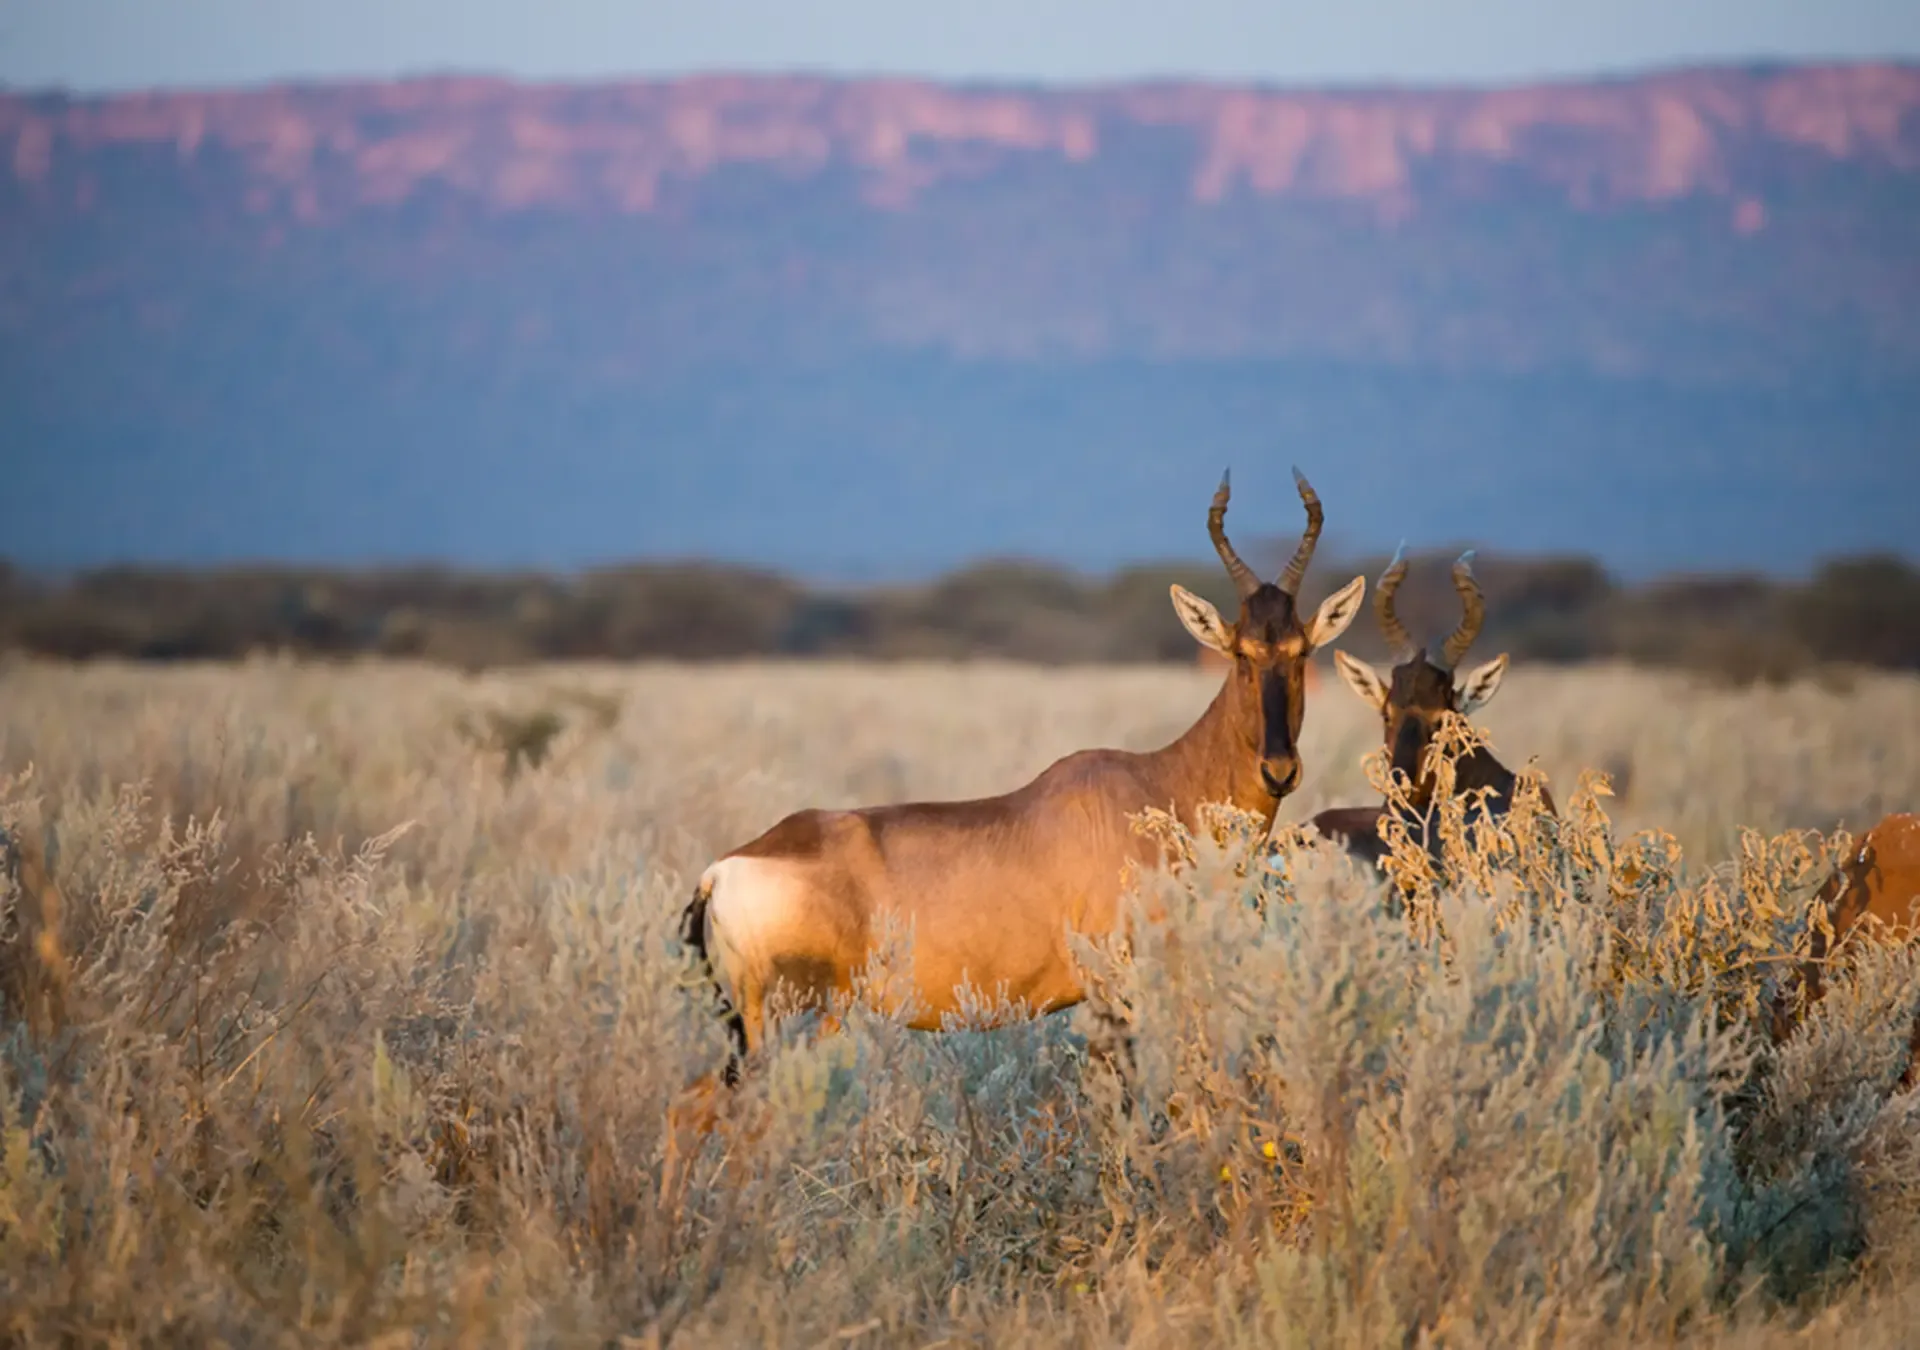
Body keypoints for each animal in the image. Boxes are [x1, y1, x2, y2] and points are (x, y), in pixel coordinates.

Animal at [679, 470, 1367, 1087]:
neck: (1159, 787)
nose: (1279, 770)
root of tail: (722, 871)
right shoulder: (1116, 990)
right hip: (789, 1024)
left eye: (1301, 651)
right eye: (1241, 653)